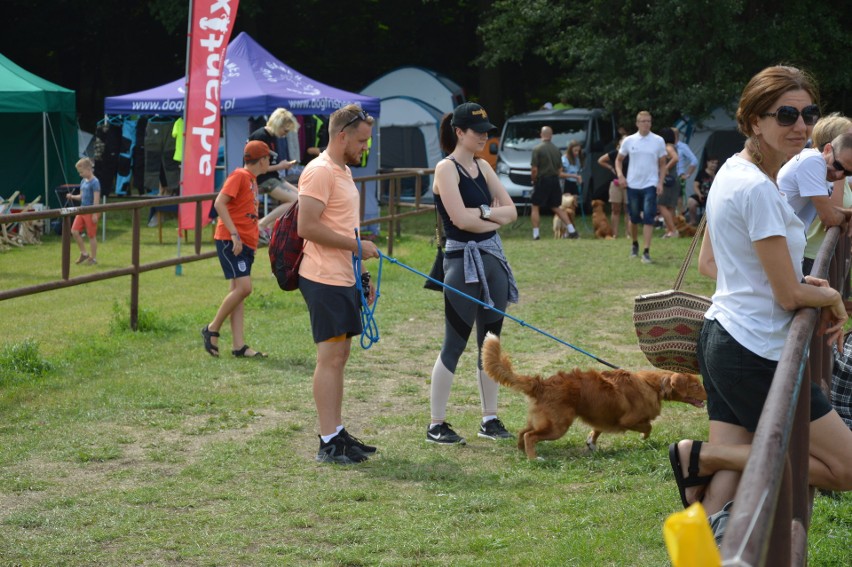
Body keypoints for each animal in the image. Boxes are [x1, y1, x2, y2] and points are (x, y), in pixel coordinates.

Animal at [482, 336, 708, 460]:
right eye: (696, 385)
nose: (709, 394)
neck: (653, 385)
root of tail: (542, 383)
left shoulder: (603, 415)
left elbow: (597, 429)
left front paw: (591, 442)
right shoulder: (628, 420)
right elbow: (648, 426)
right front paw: (644, 438)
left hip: (544, 420)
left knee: (524, 432)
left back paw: (522, 451)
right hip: (558, 425)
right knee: (530, 435)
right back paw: (534, 458)